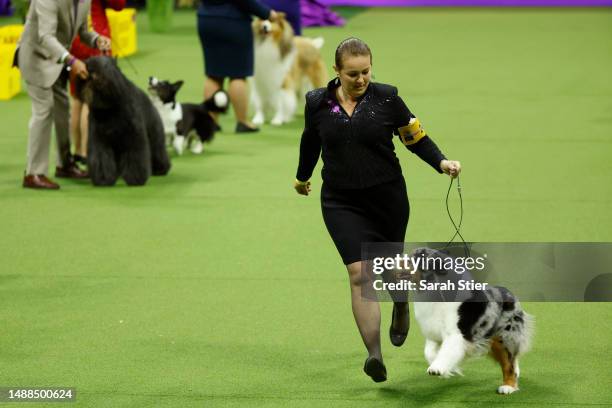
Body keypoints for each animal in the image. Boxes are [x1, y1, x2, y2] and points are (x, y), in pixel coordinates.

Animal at [412, 247, 536, 394]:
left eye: (419, 257)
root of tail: (509, 293)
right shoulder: (433, 333)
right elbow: (429, 353)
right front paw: (449, 368)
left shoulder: (456, 334)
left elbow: (447, 351)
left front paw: (437, 368)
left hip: (506, 335)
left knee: (508, 361)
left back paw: (508, 387)